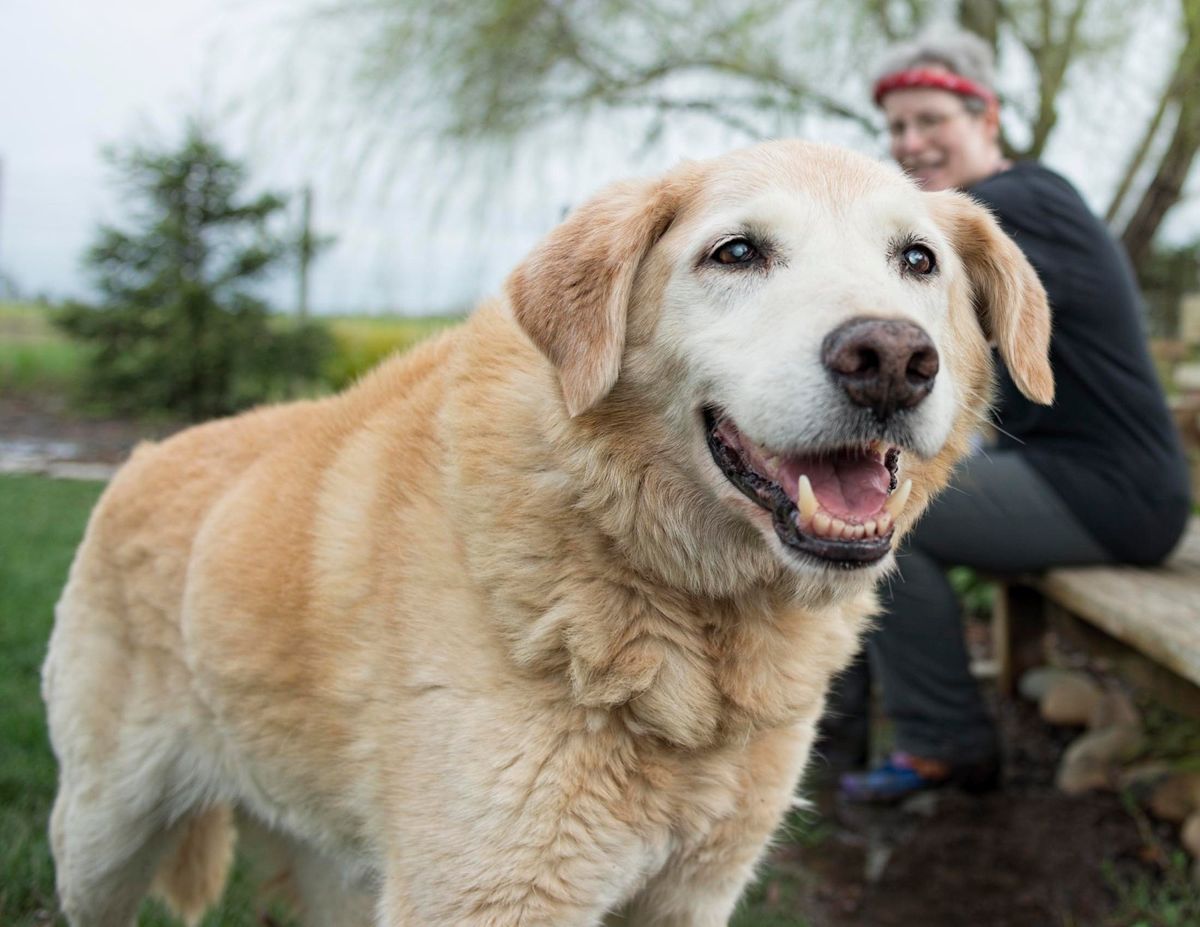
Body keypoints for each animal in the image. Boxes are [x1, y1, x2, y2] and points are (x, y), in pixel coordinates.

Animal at [42, 139, 1046, 927]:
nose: (892, 359)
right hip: (102, 833)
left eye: (917, 260)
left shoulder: (694, 893)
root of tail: (140, 456)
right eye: (736, 252)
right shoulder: (487, 893)